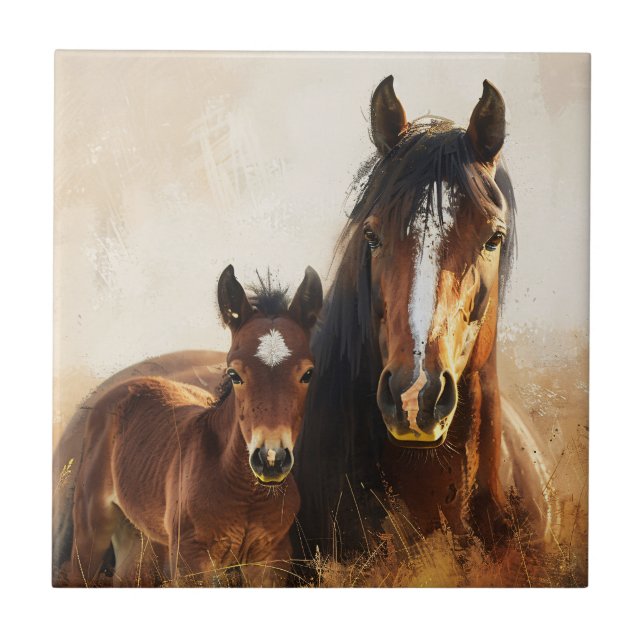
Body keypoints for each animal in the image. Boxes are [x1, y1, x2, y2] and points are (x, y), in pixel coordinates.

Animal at [63, 264, 323, 587]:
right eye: (234, 374)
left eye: (308, 374)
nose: (271, 460)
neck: (245, 493)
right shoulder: (190, 560)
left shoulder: (271, 558)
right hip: (91, 526)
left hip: (139, 534)